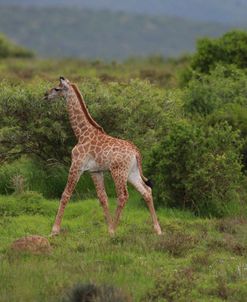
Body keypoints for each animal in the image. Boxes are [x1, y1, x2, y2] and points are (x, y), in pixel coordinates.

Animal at [44, 77, 162, 236]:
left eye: (57, 89)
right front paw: (108, 228)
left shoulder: (76, 166)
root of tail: (136, 152)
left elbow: (65, 195)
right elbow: (103, 198)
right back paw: (157, 229)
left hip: (118, 171)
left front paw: (54, 230)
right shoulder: (95, 171)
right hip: (132, 172)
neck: (81, 134)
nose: (45, 95)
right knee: (146, 191)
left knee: (123, 196)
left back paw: (115, 229)